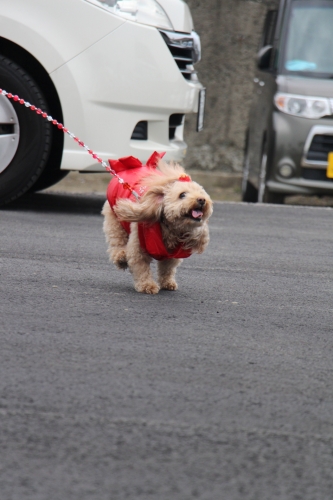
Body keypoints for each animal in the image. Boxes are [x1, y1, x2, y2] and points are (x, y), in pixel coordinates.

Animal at [100, 152, 213, 292]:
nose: (202, 200)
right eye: (182, 195)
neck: (170, 229)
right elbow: (141, 266)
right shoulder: (138, 248)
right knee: (117, 241)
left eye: (202, 193)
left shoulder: (172, 255)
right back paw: (121, 257)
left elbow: (167, 268)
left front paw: (167, 283)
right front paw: (147, 286)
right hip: (114, 220)